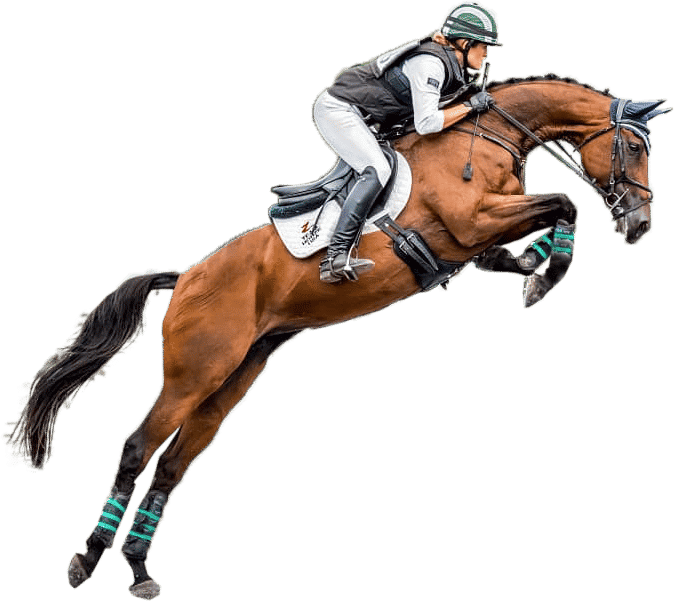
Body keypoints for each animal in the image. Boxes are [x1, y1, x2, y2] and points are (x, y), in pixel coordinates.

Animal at [3, 73, 669, 599]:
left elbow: (542, 223)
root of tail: (188, 276)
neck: (484, 138)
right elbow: (564, 203)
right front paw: (546, 274)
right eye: (635, 147)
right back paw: (86, 559)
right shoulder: (470, 221)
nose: (639, 224)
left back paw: (139, 568)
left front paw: (536, 267)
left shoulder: (482, 235)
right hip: (196, 370)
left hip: (237, 374)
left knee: (171, 465)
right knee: (138, 448)